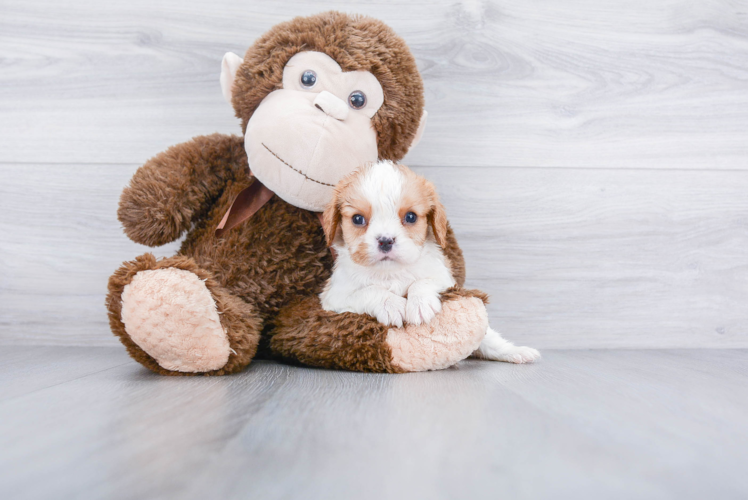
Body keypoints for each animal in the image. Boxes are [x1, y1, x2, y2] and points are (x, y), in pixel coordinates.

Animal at [318, 160, 540, 364]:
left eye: (410, 217)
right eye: (358, 219)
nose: (386, 241)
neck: (391, 272)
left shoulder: (446, 279)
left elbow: (424, 281)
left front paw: (419, 302)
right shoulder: (334, 298)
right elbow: (368, 291)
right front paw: (390, 304)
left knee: (489, 339)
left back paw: (515, 352)